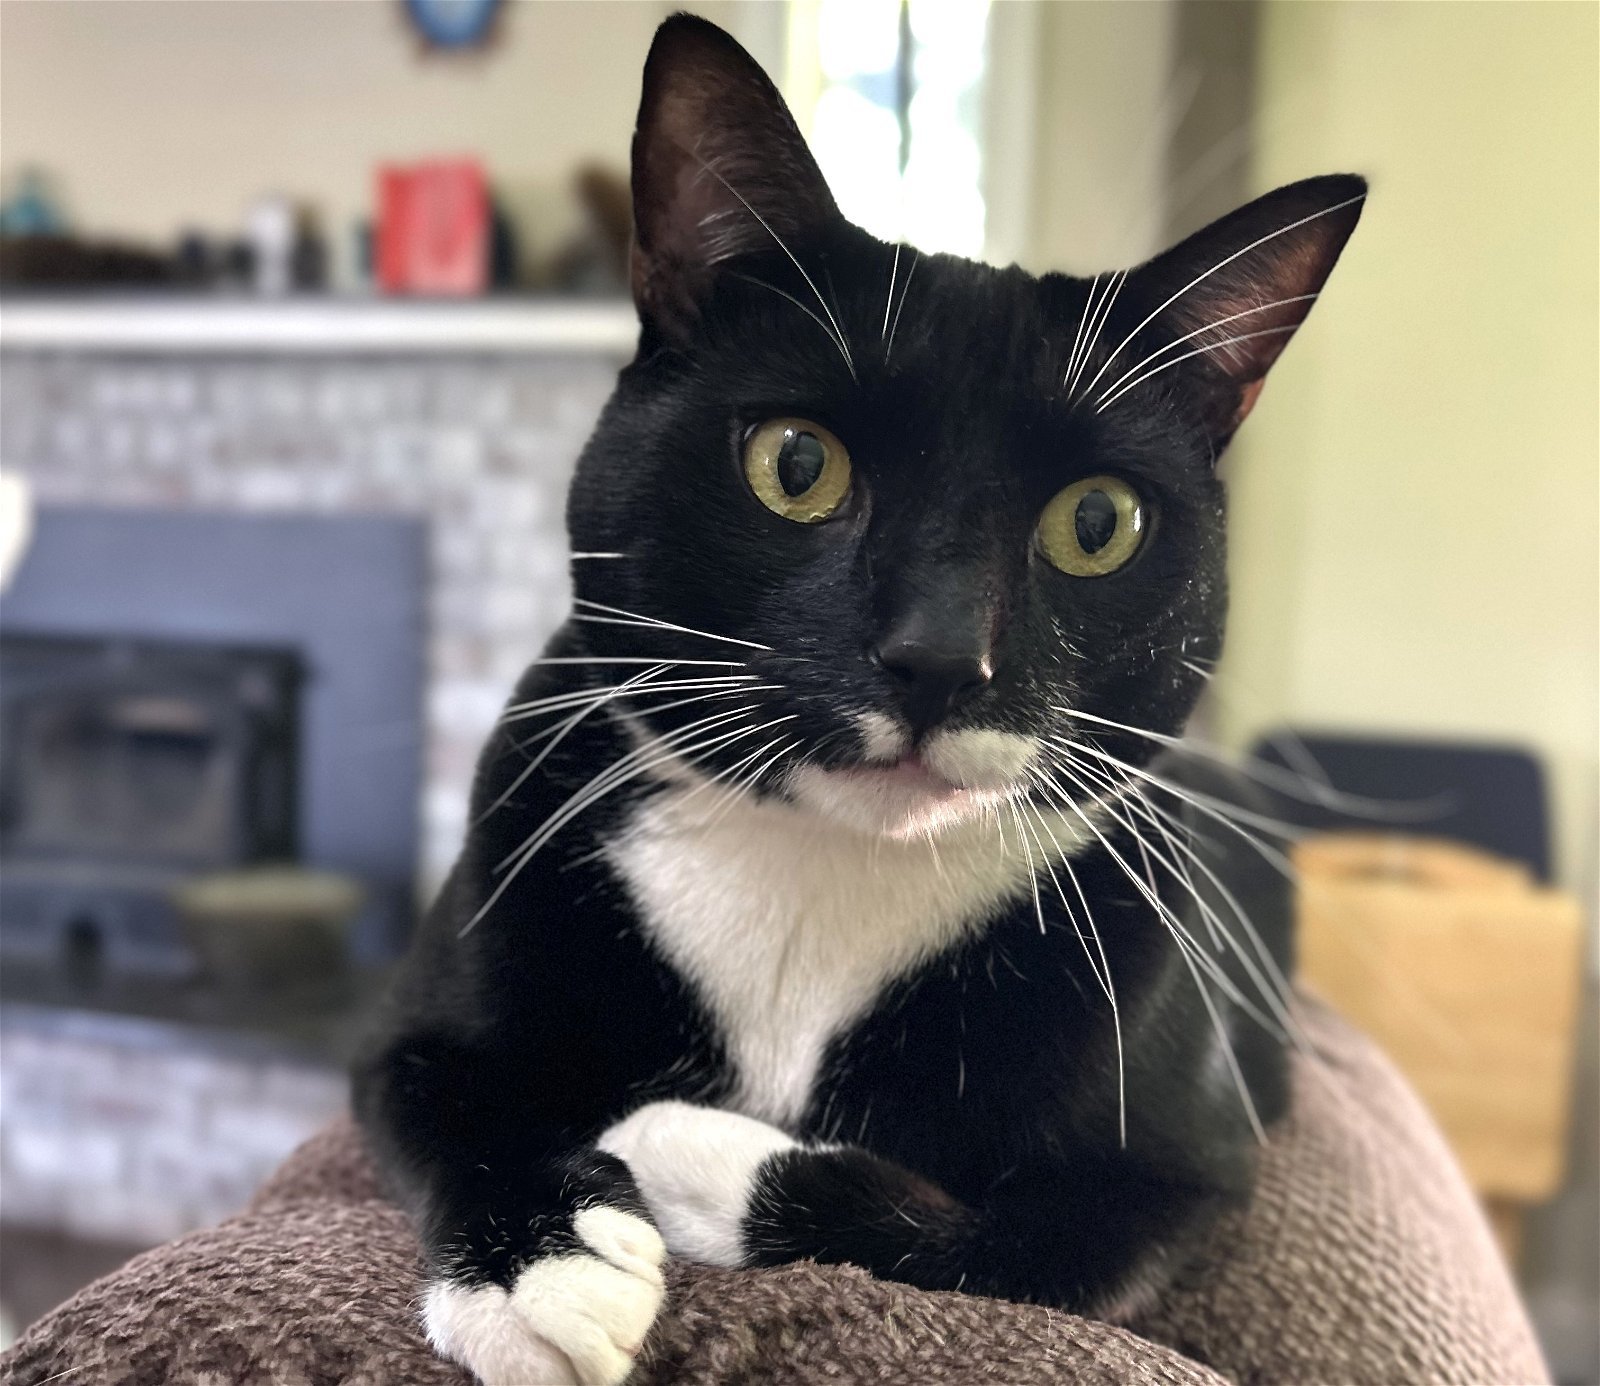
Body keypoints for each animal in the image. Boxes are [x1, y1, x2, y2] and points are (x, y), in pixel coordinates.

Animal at [356, 13, 1369, 1382]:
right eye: (798, 464)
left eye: (1096, 522)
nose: (939, 657)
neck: (821, 874)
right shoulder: (428, 1003)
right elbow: (446, 1096)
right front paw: (539, 1273)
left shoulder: (1180, 1171)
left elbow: (1005, 1251)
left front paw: (674, 1147)